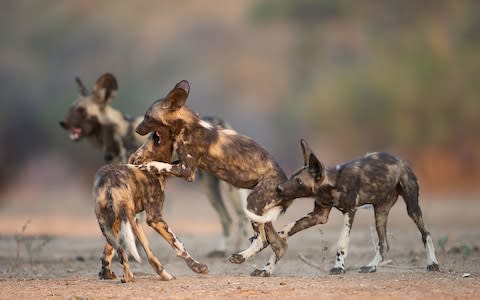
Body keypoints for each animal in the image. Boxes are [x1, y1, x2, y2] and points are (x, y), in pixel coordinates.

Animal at [58, 73, 249, 258]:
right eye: (71, 109)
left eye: (81, 110)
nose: (62, 123)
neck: (117, 133)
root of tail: (221, 123)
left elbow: (136, 223)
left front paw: (133, 252)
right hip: (210, 188)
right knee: (227, 218)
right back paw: (223, 250)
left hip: (229, 187)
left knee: (242, 217)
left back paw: (241, 250)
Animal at [93, 125, 207, 284]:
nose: (154, 133)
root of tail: (110, 184)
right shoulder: (155, 219)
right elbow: (179, 245)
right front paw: (197, 267)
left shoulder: (116, 222)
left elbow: (108, 251)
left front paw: (105, 273)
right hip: (134, 223)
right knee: (150, 255)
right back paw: (165, 275)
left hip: (112, 223)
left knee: (121, 251)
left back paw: (127, 277)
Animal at [133, 79, 294, 276]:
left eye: (147, 117)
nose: (137, 129)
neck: (187, 125)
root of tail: (285, 183)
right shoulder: (185, 164)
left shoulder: (187, 171)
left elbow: (159, 164)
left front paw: (144, 165)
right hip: (263, 214)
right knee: (278, 245)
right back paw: (264, 271)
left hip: (253, 204)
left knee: (261, 240)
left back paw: (240, 257)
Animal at [276, 139, 440, 276]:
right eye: (292, 176)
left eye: (298, 181)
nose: (278, 188)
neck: (333, 183)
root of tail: (401, 160)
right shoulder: (318, 216)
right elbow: (288, 228)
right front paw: (274, 240)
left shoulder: (350, 211)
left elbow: (342, 243)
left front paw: (338, 267)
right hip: (380, 212)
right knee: (383, 244)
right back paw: (371, 266)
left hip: (412, 208)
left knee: (426, 233)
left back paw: (433, 263)